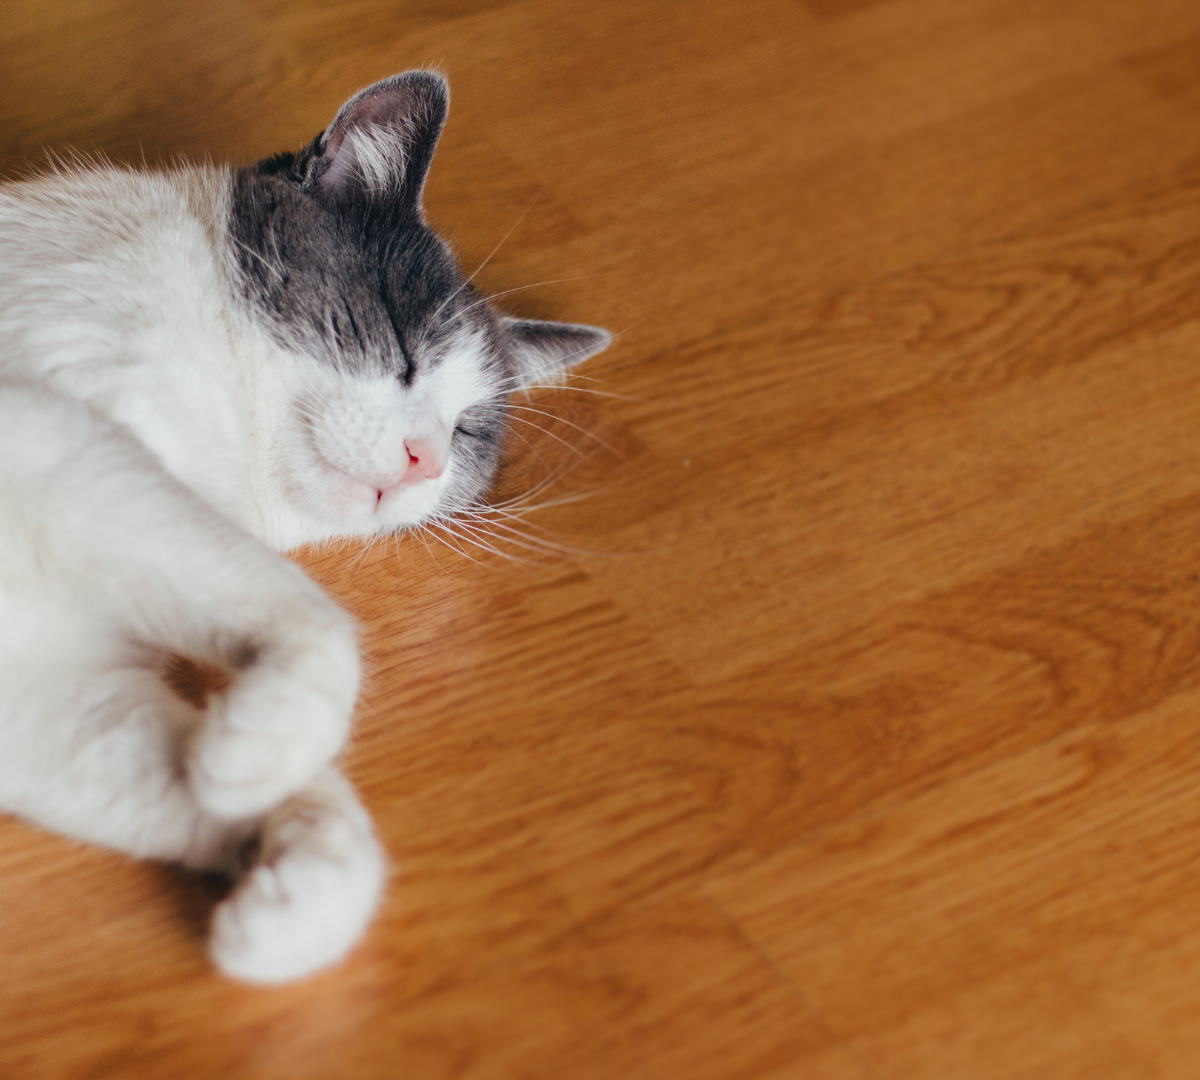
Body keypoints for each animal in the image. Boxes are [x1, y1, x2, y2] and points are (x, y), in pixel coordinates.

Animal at [0, 73, 614, 988]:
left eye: (470, 431)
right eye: (401, 348)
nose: (425, 459)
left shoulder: (49, 682)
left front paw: (301, 863)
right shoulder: (52, 435)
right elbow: (319, 619)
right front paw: (261, 742)